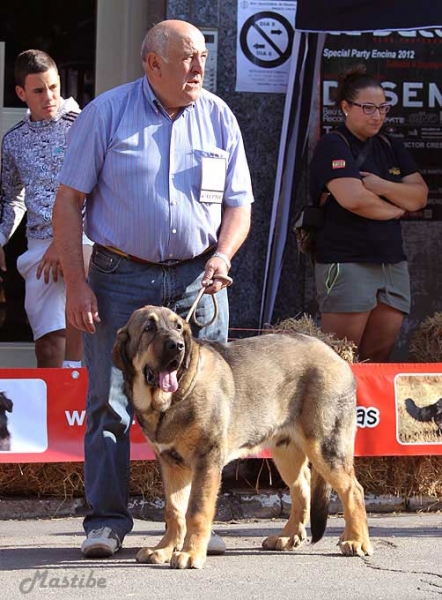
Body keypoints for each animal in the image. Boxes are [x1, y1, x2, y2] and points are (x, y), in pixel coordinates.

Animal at [112, 304, 372, 568]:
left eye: (178, 327)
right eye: (149, 328)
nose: (178, 345)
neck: (172, 400)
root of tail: (335, 354)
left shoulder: (206, 460)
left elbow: (196, 510)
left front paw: (190, 553)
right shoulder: (171, 464)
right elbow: (174, 511)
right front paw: (164, 549)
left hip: (325, 446)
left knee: (353, 490)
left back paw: (356, 540)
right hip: (286, 452)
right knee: (302, 488)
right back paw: (287, 537)